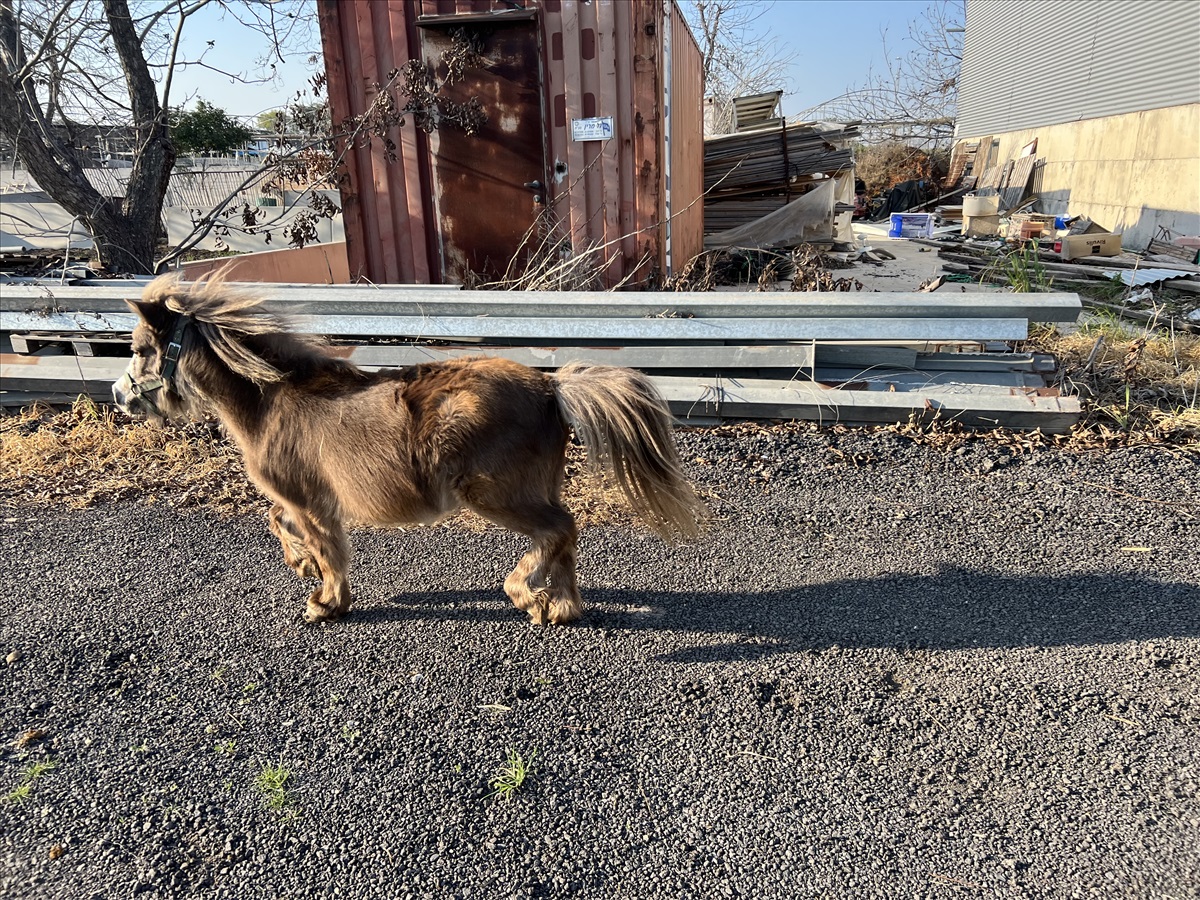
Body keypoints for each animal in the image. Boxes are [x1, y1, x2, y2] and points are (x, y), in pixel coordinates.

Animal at [112, 280, 700, 628]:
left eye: (141, 349)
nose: (119, 396)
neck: (270, 400)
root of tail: (549, 386)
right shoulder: (302, 500)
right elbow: (278, 520)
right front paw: (301, 565)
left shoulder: (312, 502)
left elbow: (325, 548)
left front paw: (325, 601)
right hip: (534, 490)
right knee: (562, 541)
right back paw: (560, 606)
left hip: (498, 495)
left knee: (559, 529)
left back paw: (525, 595)